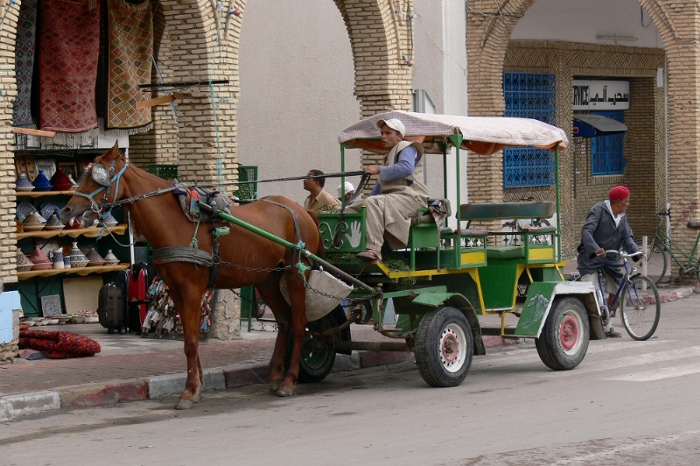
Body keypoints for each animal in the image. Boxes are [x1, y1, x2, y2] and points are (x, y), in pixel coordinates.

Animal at [58, 144, 322, 410]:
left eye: (99, 176)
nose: (66, 210)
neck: (176, 220)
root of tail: (301, 211)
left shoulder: (192, 289)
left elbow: (193, 341)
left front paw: (188, 391)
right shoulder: (176, 290)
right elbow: (187, 341)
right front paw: (196, 387)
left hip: (296, 273)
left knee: (299, 323)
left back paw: (289, 380)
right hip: (266, 279)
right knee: (285, 320)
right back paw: (276, 374)